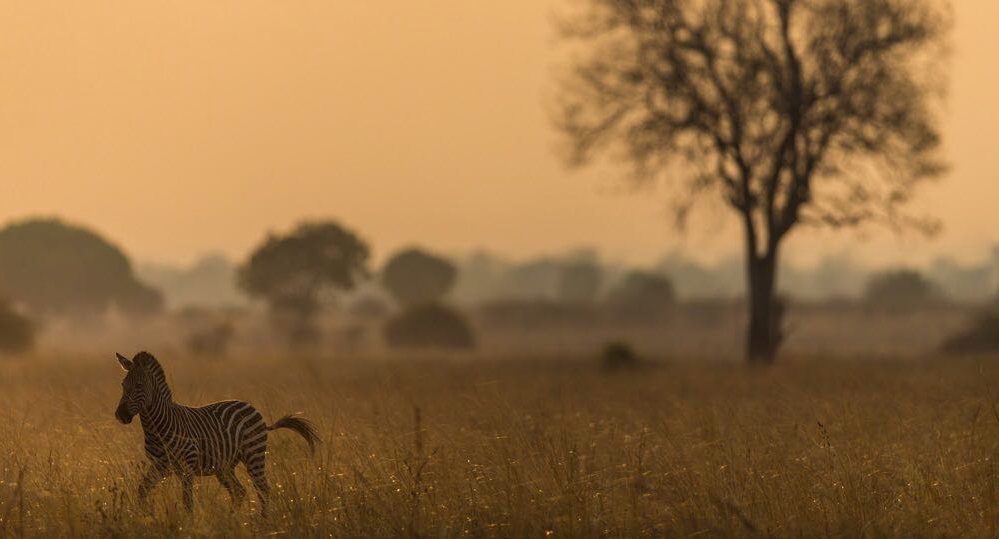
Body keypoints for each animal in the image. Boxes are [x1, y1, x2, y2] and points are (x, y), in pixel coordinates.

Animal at [114, 351, 318, 515]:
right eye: (123, 384)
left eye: (139, 385)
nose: (120, 415)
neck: (156, 427)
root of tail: (250, 406)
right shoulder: (159, 466)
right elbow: (141, 491)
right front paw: (145, 515)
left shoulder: (187, 468)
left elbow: (187, 503)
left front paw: (187, 525)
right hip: (224, 466)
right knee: (239, 491)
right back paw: (231, 519)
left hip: (254, 455)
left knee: (263, 489)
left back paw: (263, 521)